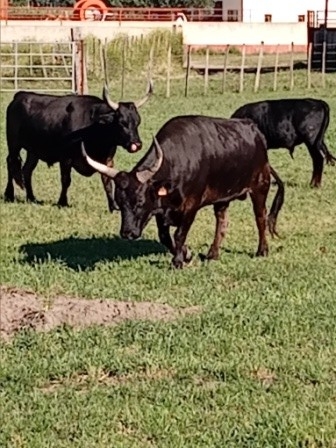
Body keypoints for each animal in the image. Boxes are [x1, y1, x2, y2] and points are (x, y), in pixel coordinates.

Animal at [3, 81, 154, 211]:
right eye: (122, 122)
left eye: (137, 122)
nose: (137, 144)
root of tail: (20, 95)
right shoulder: (66, 158)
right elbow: (66, 180)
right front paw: (62, 202)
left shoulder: (107, 160)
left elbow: (107, 182)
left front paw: (113, 206)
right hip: (14, 144)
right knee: (11, 164)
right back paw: (9, 195)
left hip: (33, 151)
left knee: (27, 170)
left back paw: (31, 197)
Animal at [81, 116, 284, 270]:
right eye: (119, 204)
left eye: (139, 202)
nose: (127, 233)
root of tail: (254, 130)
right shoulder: (160, 210)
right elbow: (165, 237)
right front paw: (186, 254)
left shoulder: (190, 207)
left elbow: (179, 234)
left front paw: (178, 260)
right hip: (222, 198)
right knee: (222, 221)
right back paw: (213, 253)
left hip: (260, 187)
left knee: (260, 217)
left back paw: (262, 250)